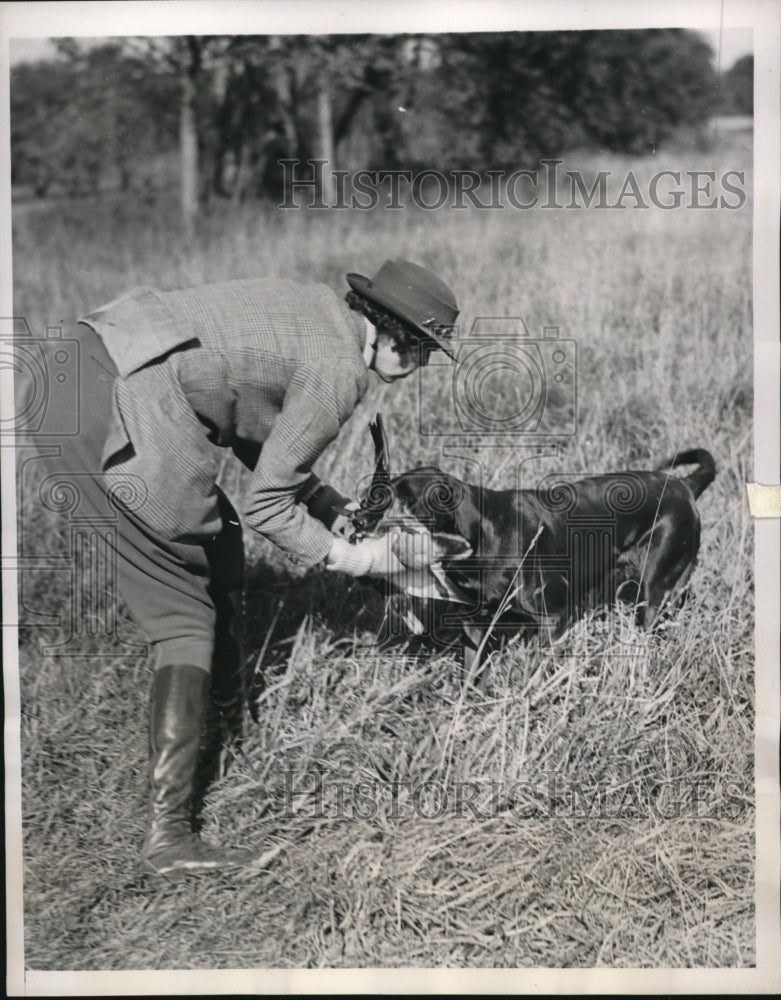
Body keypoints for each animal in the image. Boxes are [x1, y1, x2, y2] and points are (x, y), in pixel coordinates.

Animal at [356, 420, 716, 664]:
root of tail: (685, 486)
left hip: (654, 591)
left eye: (409, 501)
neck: (484, 537)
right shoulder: (474, 624)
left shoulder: (553, 618)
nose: (360, 520)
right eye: (376, 494)